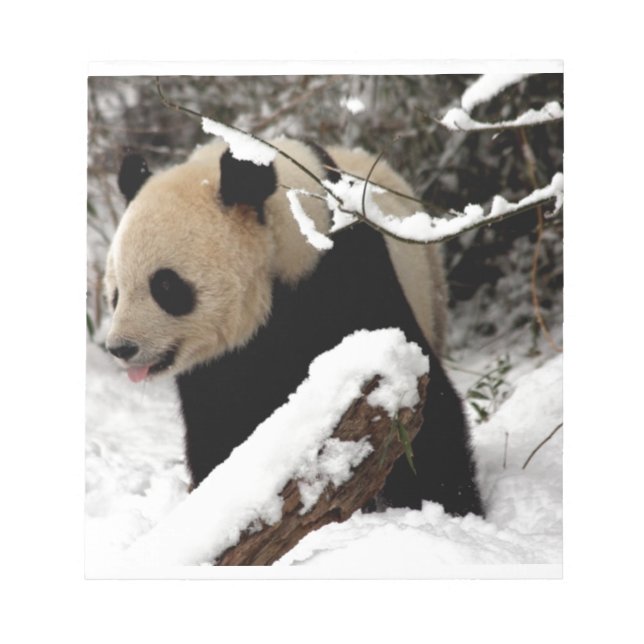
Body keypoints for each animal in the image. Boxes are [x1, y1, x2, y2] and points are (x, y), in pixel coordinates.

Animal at [105, 136, 483, 517]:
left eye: (166, 286)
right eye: (116, 292)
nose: (121, 348)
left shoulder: (351, 277)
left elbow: (422, 403)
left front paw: (447, 505)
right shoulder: (217, 366)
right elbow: (219, 425)